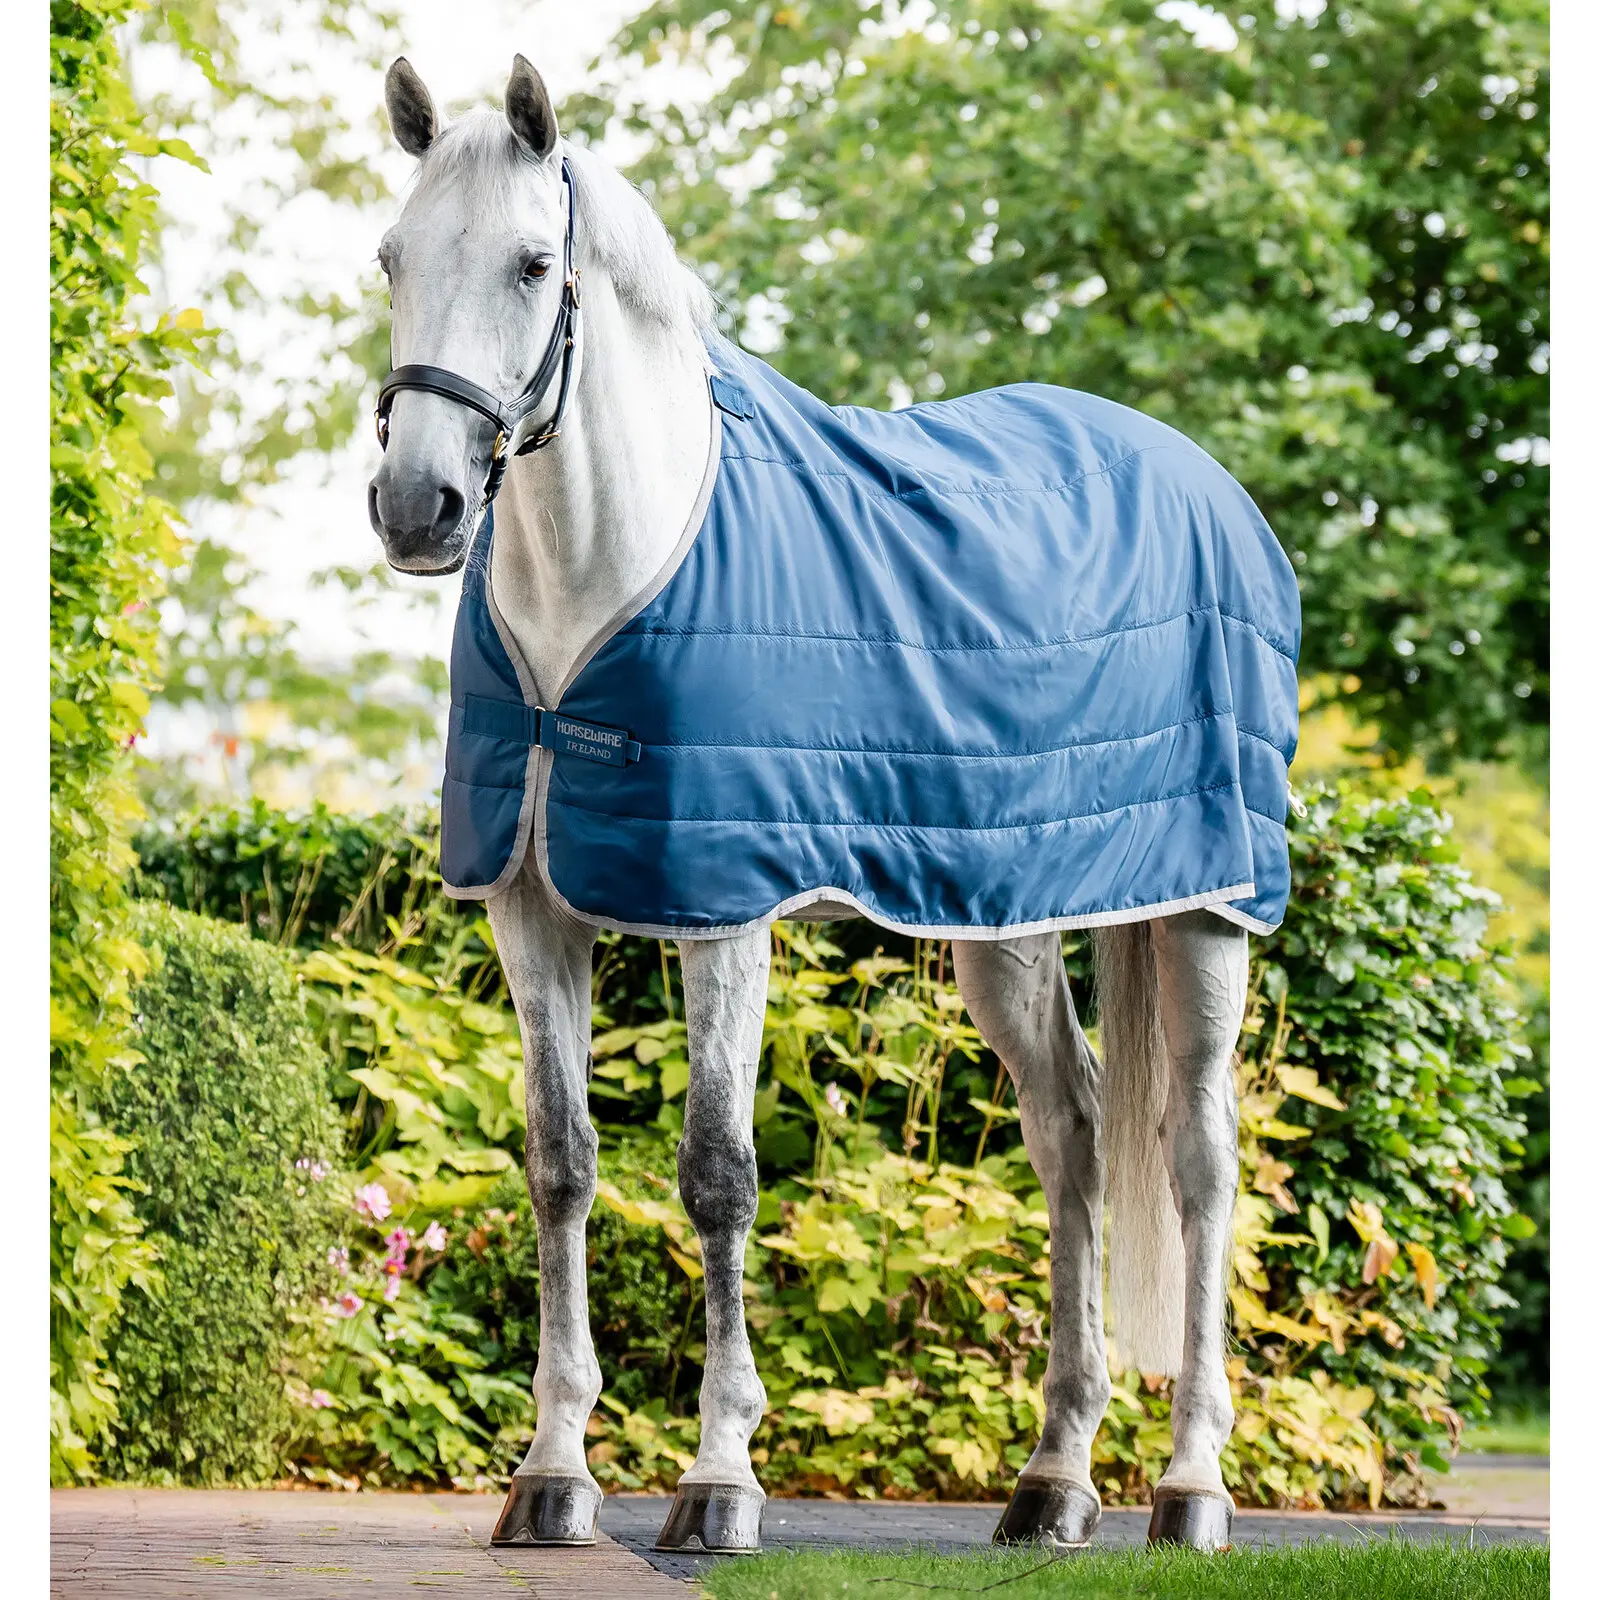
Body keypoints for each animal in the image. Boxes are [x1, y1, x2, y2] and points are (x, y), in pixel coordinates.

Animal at [366, 54, 1300, 1556]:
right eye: (393, 257)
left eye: (531, 264)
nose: (419, 507)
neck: (606, 576)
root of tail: (1209, 484)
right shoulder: (529, 903)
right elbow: (561, 1164)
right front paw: (552, 1477)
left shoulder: (722, 909)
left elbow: (716, 1172)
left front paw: (718, 1481)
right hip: (1007, 919)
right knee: (1074, 1138)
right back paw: (1051, 1483)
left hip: (1207, 908)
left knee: (1200, 1160)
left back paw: (1190, 1489)